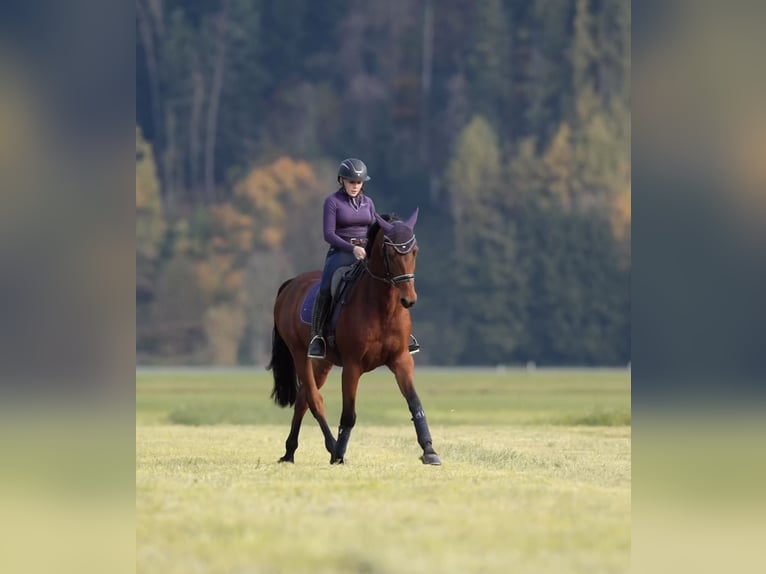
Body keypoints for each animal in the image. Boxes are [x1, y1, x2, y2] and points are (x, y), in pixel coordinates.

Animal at [267, 209, 441, 465]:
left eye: (414, 250)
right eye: (391, 252)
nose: (409, 299)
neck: (382, 306)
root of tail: (291, 285)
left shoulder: (401, 360)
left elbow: (414, 403)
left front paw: (429, 450)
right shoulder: (352, 366)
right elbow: (349, 415)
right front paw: (340, 454)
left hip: (323, 362)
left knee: (302, 400)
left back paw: (290, 452)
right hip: (300, 355)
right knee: (314, 399)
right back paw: (332, 448)